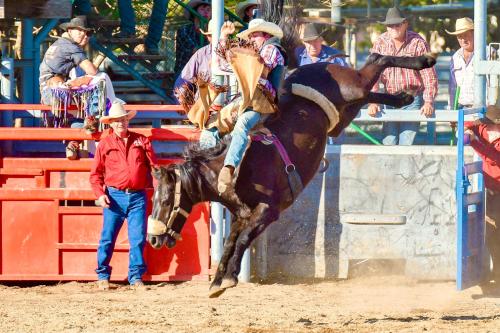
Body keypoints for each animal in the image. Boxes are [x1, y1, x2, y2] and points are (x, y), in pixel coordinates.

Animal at [146, 53, 436, 296]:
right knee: (371, 84)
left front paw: (228, 278)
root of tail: (319, 64)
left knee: (377, 59)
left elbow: (243, 240)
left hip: (353, 87)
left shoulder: (269, 211)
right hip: (347, 111)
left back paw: (425, 61)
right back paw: (404, 97)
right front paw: (217, 282)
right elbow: (230, 243)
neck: (233, 170)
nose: (153, 239)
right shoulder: (242, 215)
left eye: (164, 200)